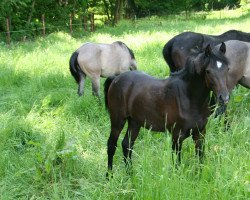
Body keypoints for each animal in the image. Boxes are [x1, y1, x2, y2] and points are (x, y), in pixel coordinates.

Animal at [104, 43, 229, 176]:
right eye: (208, 71)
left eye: (227, 69)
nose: (224, 98)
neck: (188, 98)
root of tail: (116, 78)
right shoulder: (177, 136)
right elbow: (177, 163)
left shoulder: (200, 133)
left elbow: (200, 158)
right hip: (118, 121)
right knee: (112, 145)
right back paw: (109, 176)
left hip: (134, 122)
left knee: (127, 145)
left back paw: (130, 174)